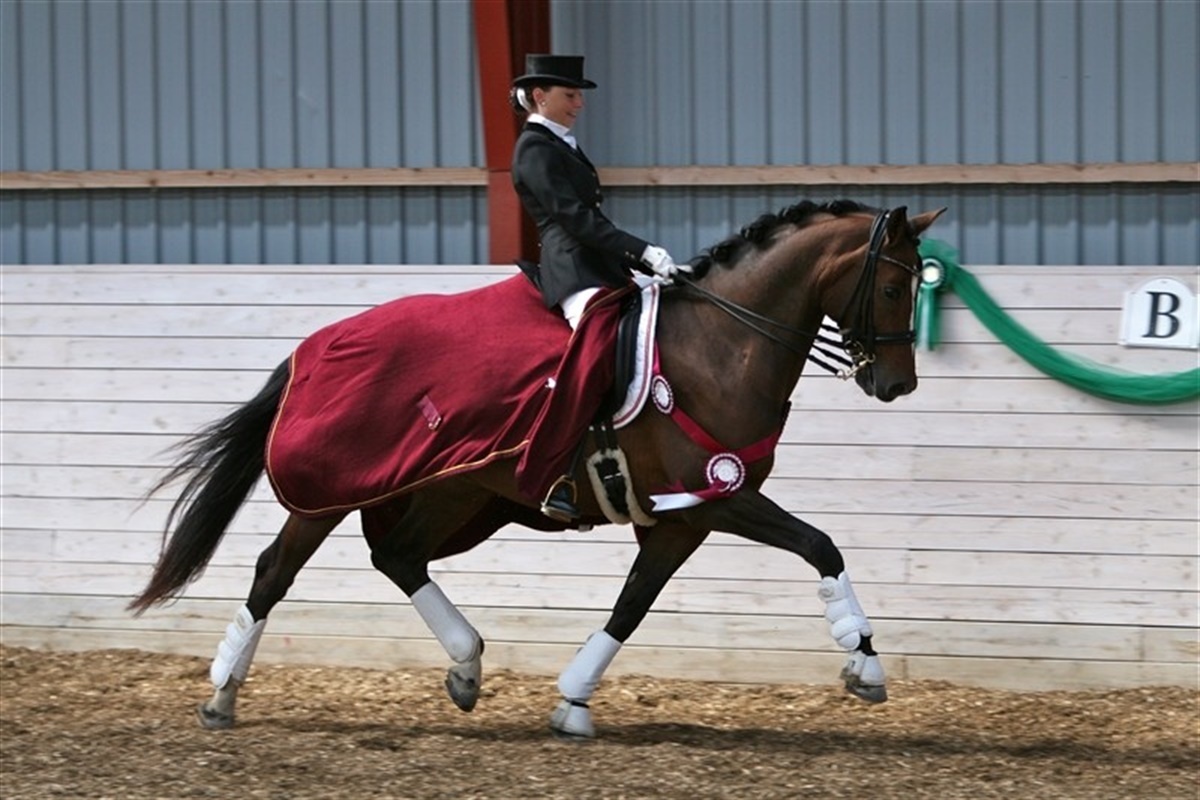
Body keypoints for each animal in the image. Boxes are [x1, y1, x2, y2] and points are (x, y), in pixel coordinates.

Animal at [129, 199, 945, 739]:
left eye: (917, 284)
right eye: (893, 285)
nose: (898, 384)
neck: (723, 344)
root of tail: (313, 345)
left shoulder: (682, 516)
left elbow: (633, 604)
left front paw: (574, 701)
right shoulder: (717, 497)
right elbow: (820, 545)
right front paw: (866, 665)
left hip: (452, 491)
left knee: (398, 554)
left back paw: (466, 668)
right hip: (330, 493)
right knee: (276, 570)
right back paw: (223, 694)